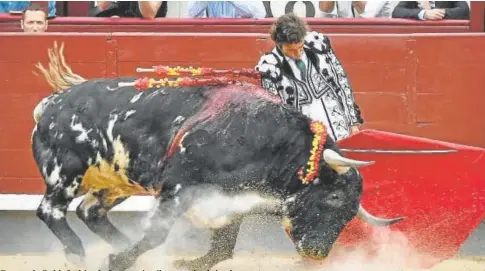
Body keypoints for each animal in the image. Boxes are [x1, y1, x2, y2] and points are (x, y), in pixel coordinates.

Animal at [29, 43, 400, 270]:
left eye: (350, 216)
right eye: (333, 198)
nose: (318, 253)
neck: (264, 139)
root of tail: (51, 104)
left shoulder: (230, 200)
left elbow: (223, 249)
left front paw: (179, 262)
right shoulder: (178, 187)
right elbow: (157, 233)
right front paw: (119, 260)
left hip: (116, 182)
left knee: (90, 211)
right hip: (66, 173)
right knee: (51, 210)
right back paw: (77, 255)